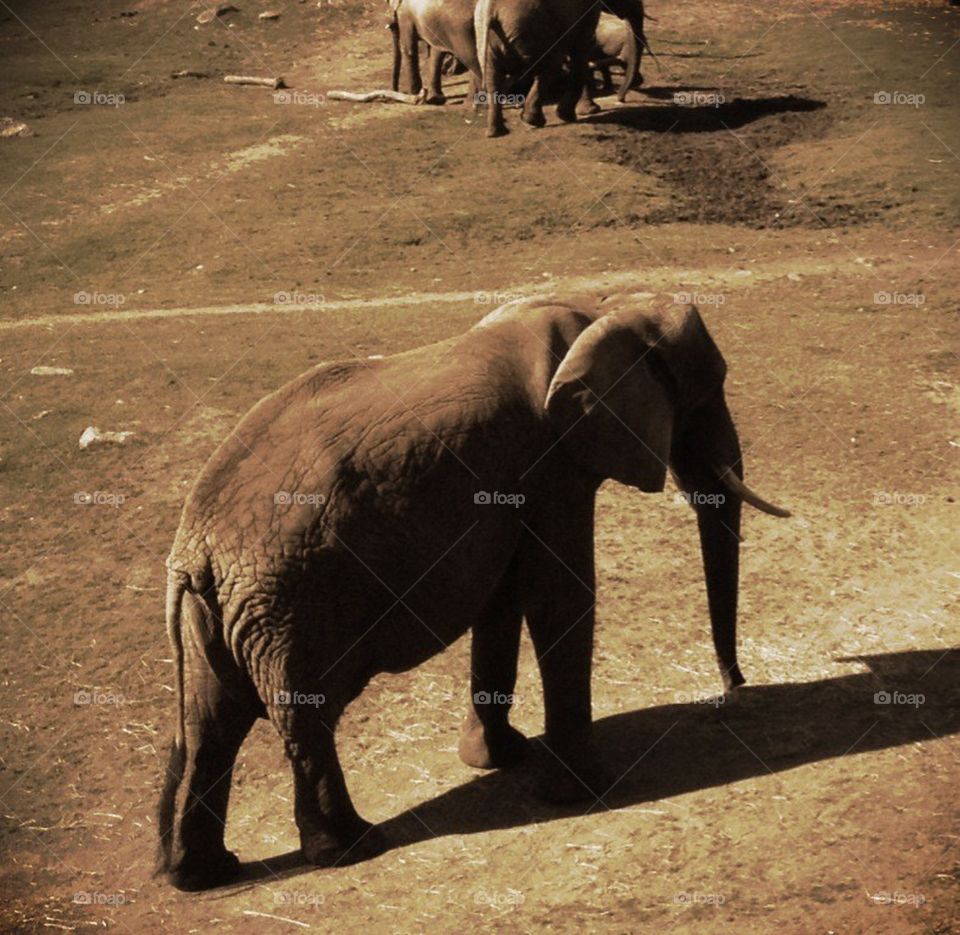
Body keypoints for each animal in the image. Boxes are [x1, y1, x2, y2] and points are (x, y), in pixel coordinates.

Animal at [155, 291, 788, 891]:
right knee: (298, 716)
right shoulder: (552, 463)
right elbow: (561, 596)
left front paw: (501, 759)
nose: (734, 691)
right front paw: (583, 789)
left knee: (209, 726)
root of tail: (195, 550)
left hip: (226, 612)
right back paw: (354, 846)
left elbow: (502, 598)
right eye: (705, 396)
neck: (601, 307)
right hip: (292, 604)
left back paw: (201, 873)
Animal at [474, 0, 647, 136]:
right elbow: (580, 49)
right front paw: (568, 116)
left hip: (490, 36)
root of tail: (491, 8)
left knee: (493, 78)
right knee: (541, 66)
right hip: (529, 28)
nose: (621, 99)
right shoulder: (588, 13)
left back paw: (497, 132)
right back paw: (533, 120)